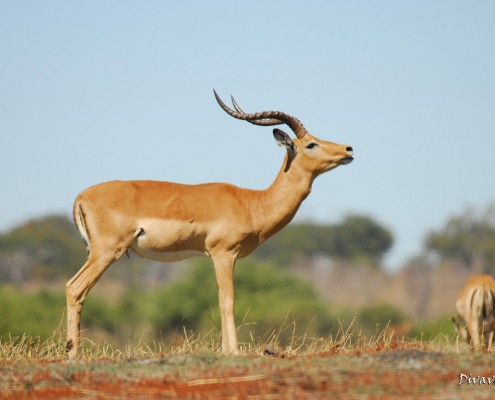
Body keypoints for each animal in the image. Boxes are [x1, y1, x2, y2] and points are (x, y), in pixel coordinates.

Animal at [66, 90, 354, 356]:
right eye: (311, 144)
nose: (348, 150)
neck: (252, 203)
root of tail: (81, 196)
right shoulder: (223, 253)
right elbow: (228, 300)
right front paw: (233, 352)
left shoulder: (224, 256)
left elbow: (219, 299)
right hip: (107, 251)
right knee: (74, 288)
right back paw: (74, 354)